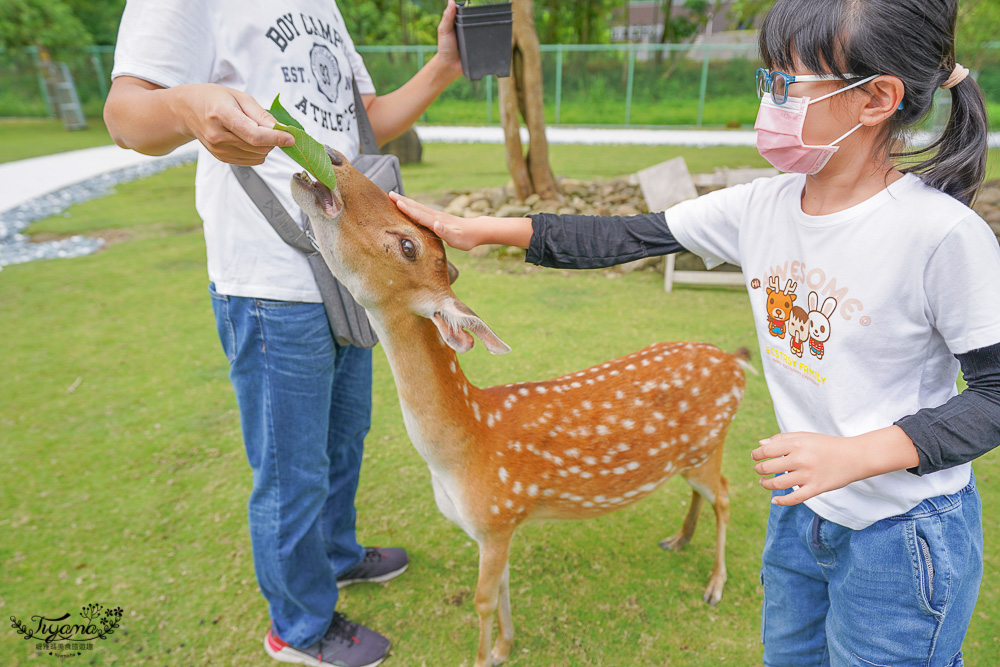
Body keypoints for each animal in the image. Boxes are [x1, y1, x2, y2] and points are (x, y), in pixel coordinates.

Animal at [290, 151, 752, 667]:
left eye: (408, 244)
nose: (333, 158)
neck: (461, 450)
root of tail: (736, 363)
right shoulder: (498, 527)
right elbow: (504, 587)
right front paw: (504, 647)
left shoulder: (497, 516)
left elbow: (482, 599)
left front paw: (483, 656)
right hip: (694, 456)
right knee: (705, 491)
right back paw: (679, 539)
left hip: (712, 441)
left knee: (727, 494)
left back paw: (715, 585)